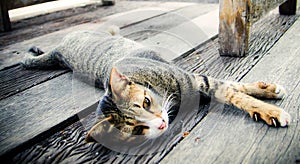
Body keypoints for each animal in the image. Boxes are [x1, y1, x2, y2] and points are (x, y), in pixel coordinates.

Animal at [22, 29, 292, 144]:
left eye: (146, 102)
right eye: (136, 129)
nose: (161, 124)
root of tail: (60, 50)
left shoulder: (198, 80)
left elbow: (236, 91)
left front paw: (268, 99)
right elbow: (233, 90)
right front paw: (267, 105)